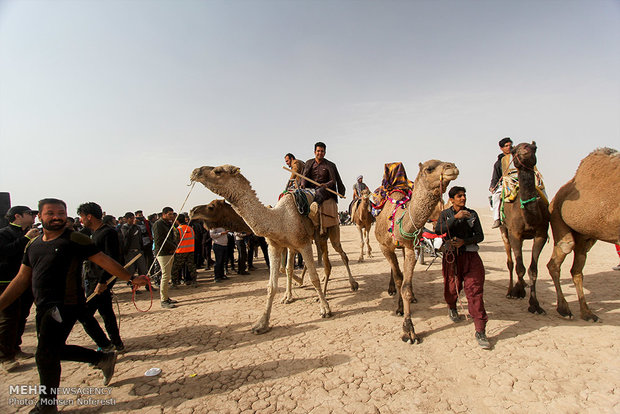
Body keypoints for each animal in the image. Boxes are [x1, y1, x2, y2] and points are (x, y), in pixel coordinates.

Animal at [189, 165, 352, 334]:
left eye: (218, 171)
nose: (195, 172)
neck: (279, 219)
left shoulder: (303, 244)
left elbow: (313, 278)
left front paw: (325, 309)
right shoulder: (276, 246)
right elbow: (273, 284)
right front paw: (261, 323)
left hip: (330, 231)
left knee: (339, 256)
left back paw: (351, 285)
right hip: (313, 240)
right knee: (318, 265)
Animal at [372, 158, 460, 342]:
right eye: (429, 168)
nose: (452, 167)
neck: (398, 219)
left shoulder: (410, 246)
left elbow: (405, 285)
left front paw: (408, 328)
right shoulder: (384, 247)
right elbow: (399, 278)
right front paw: (401, 314)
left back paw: (412, 296)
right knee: (395, 270)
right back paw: (392, 289)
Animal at [496, 142, 548, 314]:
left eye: (534, 147)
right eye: (513, 150)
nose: (524, 151)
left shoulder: (541, 234)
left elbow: (533, 270)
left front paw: (535, 304)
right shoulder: (515, 234)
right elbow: (519, 267)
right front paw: (517, 292)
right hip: (504, 231)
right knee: (511, 261)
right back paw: (511, 289)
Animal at [548, 147, 620, 322]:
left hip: (586, 235)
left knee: (576, 269)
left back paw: (587, 313)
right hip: (557, 214)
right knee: (560, 255)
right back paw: (564, 310)